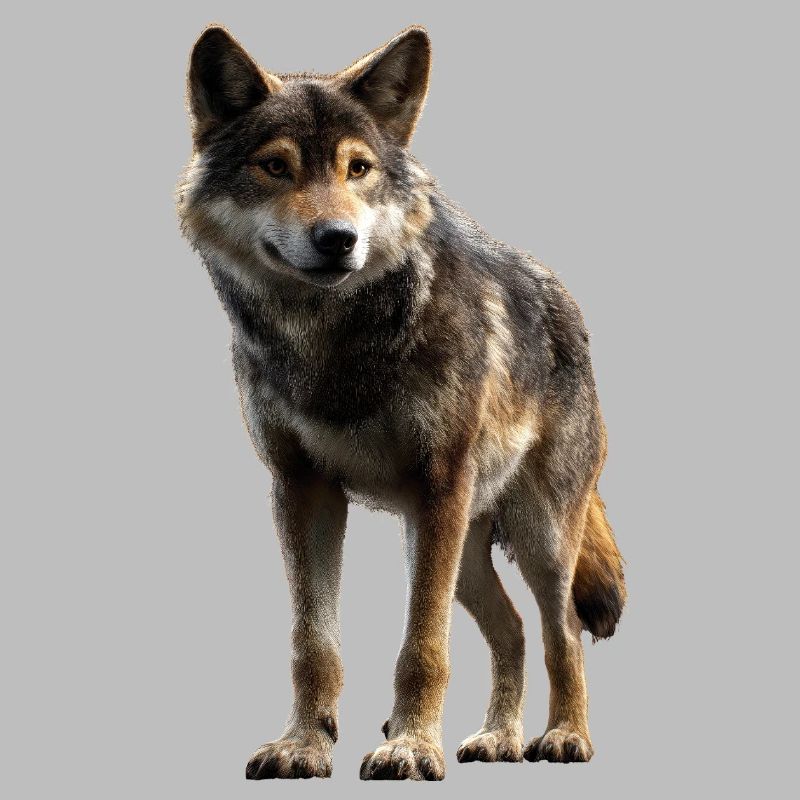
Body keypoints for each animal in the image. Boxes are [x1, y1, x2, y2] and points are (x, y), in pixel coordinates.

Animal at [177, 24, 626, 781]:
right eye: (276, 168)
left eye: (358, 168)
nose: (338, 239)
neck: (333, 342)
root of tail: (567, 303)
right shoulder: (302, 489)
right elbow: (313, 644)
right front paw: (303, 745)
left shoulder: (438, 485)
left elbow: (423, 646)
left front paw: (411, 746)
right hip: (462, 550)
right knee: (511, 632)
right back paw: (498, 739)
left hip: (531, 536)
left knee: (560, 631)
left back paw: (565, 737)